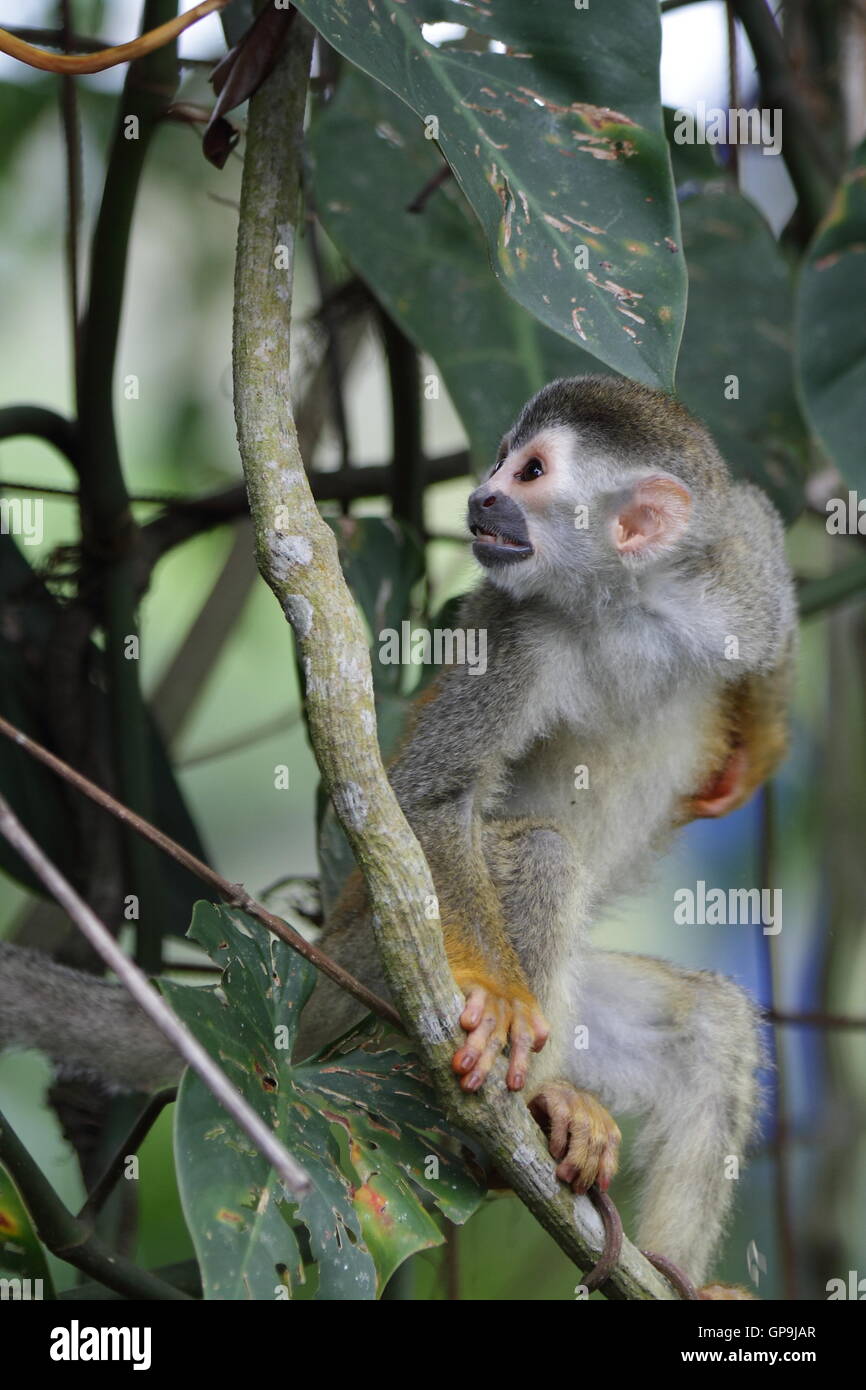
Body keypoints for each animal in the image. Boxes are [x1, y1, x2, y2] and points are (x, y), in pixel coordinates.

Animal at [0, 375, 795, 1295]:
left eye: (529, 471)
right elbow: (432, 804)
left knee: (714, 1025)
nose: (481, 496)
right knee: (537, 855)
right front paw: (508, 1003)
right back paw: (531, 1111)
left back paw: (672, 1268)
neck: (619, 605)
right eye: (501, 460)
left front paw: (757, 742)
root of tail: (316, 960)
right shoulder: (511, 633)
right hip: (377, 977)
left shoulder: (735, 575)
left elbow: (769, 580)